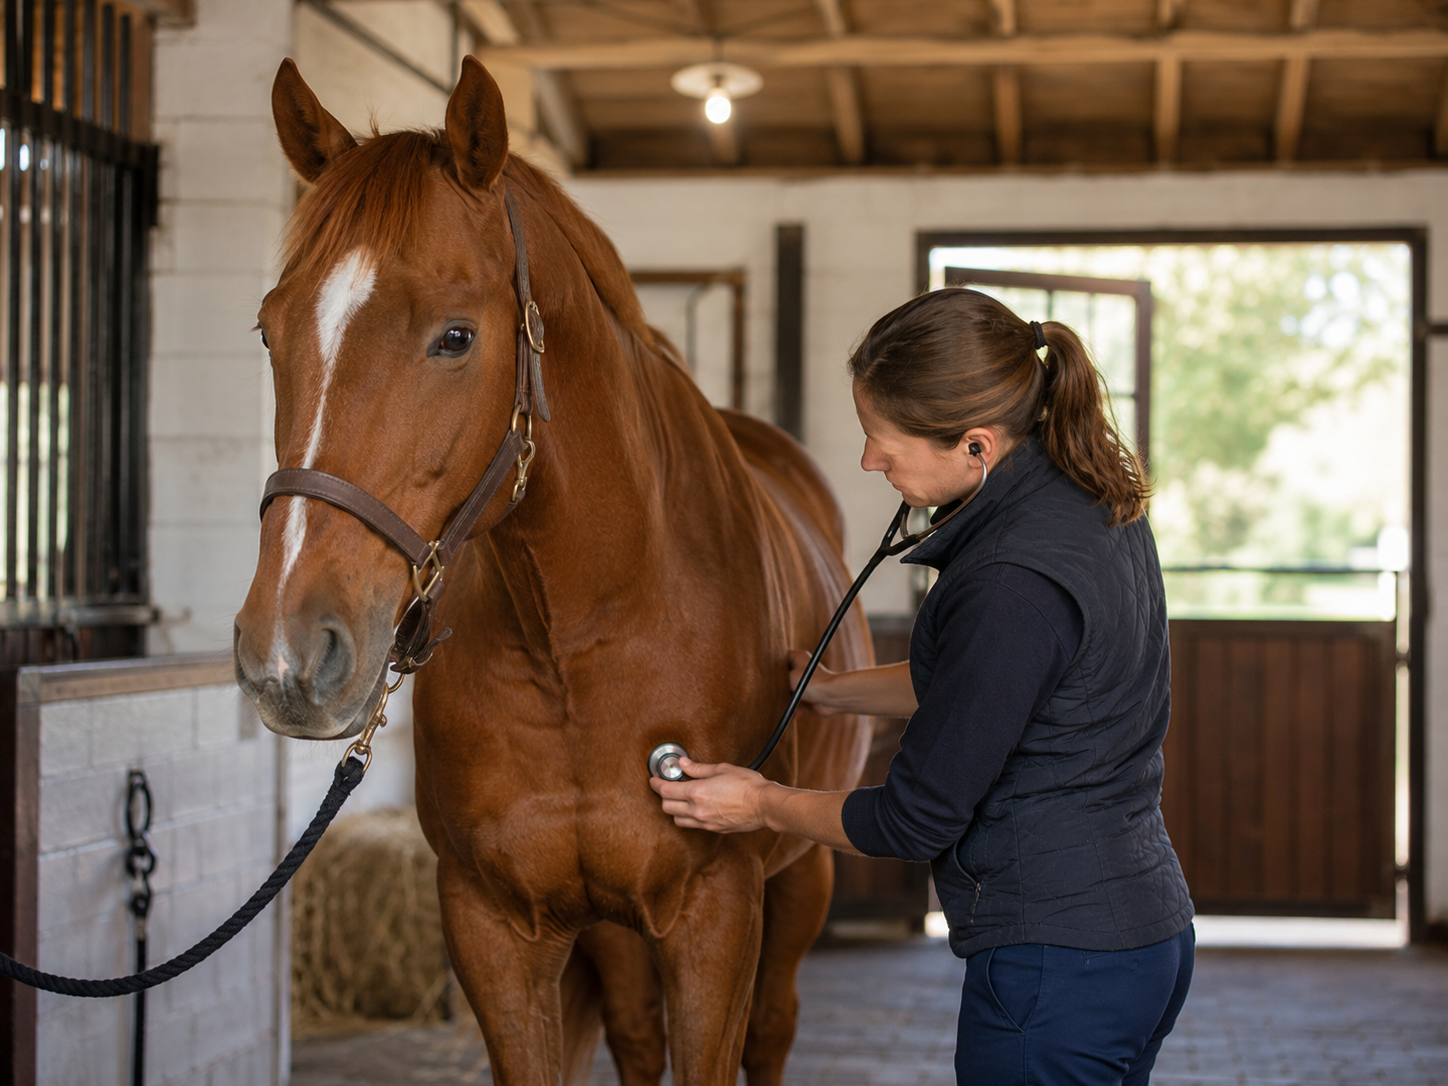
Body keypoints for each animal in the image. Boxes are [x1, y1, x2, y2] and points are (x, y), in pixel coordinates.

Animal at [233, 57, 873, 1086]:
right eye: (268, 331)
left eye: (456, 336)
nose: (288, 655)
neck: (580, 628)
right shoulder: (494, 928)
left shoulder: (717, 916)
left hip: (798, 880)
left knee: (772, 1029)